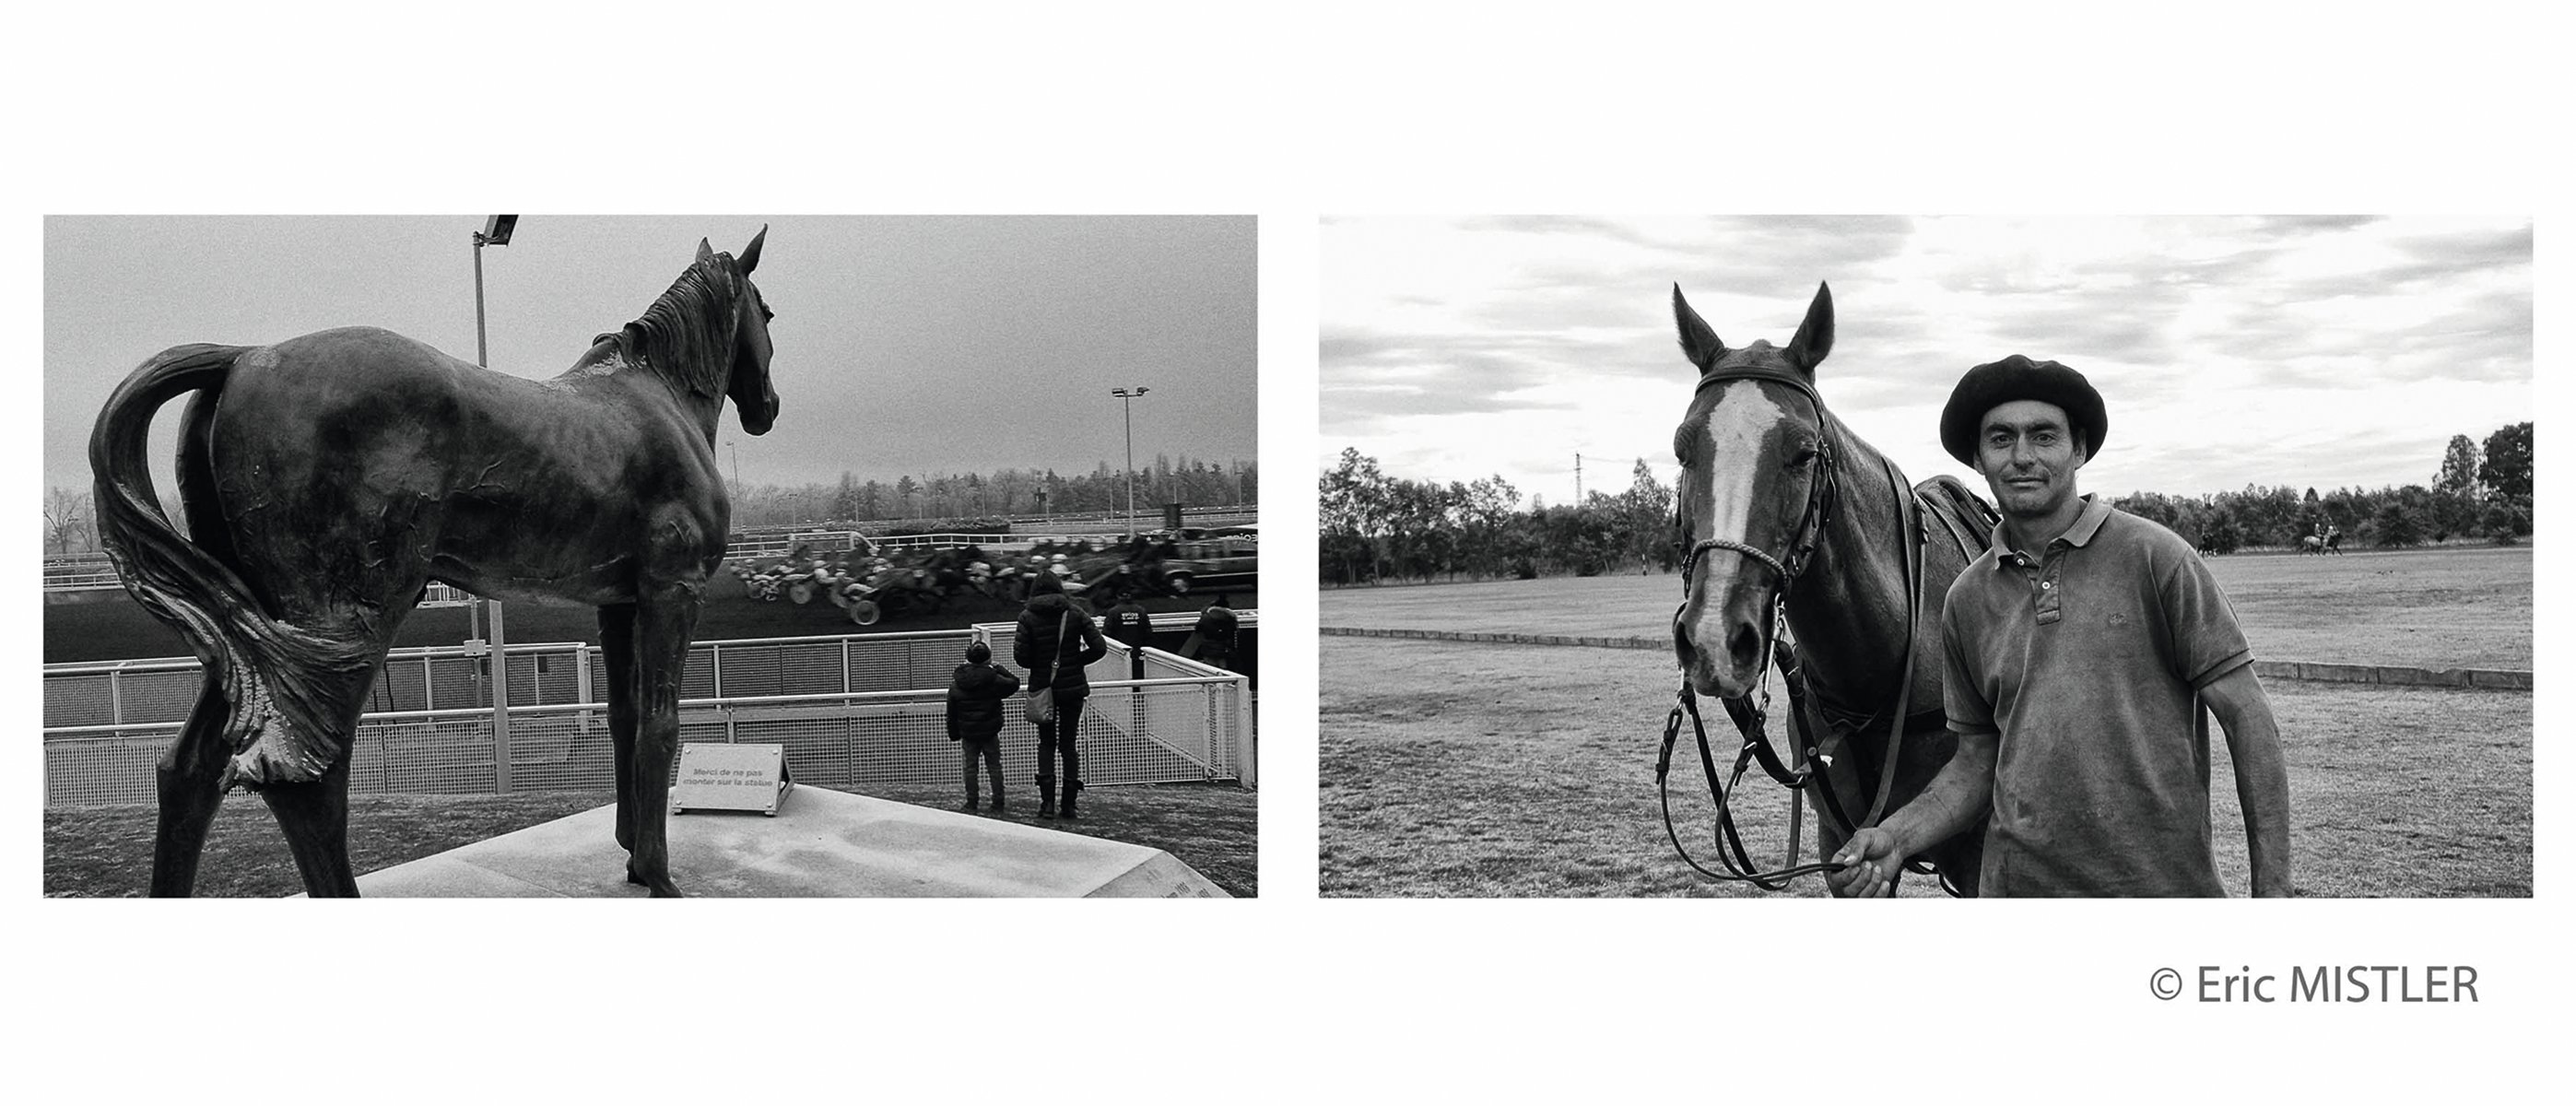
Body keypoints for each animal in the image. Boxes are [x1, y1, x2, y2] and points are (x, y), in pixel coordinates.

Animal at [95, 228, 778, 891]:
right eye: (766, 312)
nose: (767, 408)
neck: (654, 402)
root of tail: (246, 356)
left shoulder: (617, 603)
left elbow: (624, 717)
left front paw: (634, 857)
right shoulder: (673, 591)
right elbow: (660, 726)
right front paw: (658, 874)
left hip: (249, 636)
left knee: (186, 772)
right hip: (342, 628)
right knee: (306, 779)